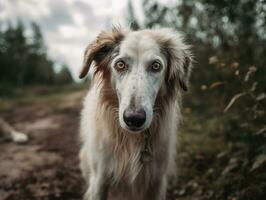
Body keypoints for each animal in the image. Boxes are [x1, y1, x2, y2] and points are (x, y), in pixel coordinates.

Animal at [78, 27, 192, 200]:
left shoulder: (156, 182)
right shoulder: (99, 180)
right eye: (120, 65)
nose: (134, 119)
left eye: (156, 66)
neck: (132, 140)